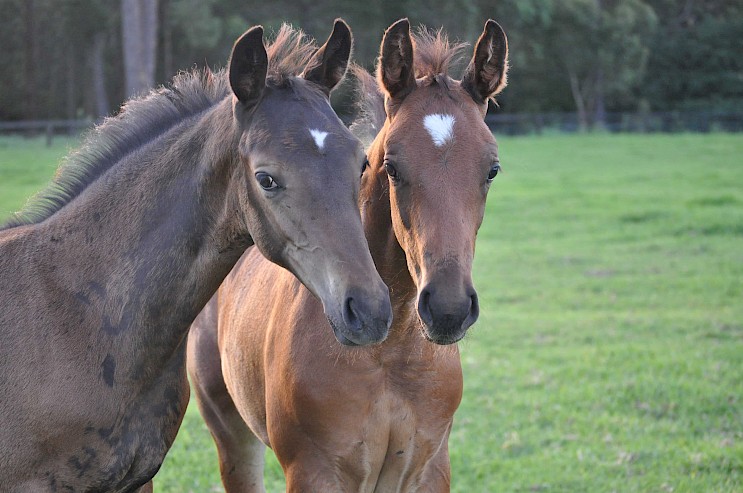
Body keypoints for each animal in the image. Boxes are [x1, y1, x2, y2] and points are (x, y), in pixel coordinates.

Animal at [189, 17, 508, 490]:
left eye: (492, 170)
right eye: (391, 167)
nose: (448, 309)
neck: (391, 352)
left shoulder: (430, 468)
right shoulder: (314, 470)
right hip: (230, 432)